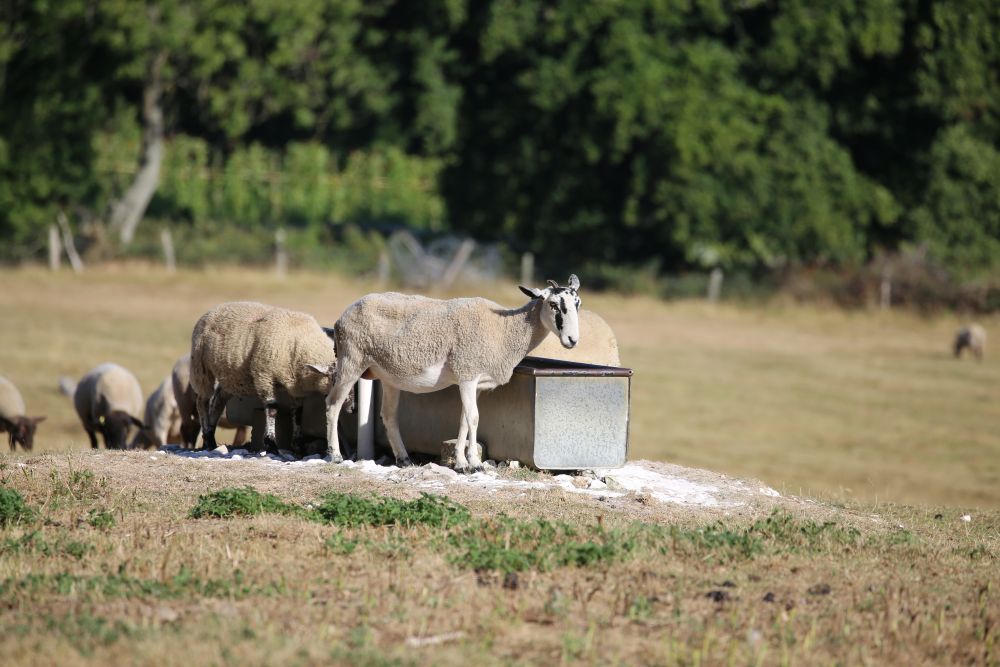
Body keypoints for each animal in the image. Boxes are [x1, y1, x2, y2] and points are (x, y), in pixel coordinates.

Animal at [189, 301, 336, 452]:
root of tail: (213, 309)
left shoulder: (296, 388)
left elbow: (298, 414)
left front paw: (298, 444)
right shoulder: (264, 376)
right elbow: (272, 409)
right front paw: (271, 442)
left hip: (230, 377)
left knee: (217, 402)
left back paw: (211, 437)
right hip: (201, 367)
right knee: (202, 402)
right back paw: (208, 438)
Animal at [310, 275, 582, 472]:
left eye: (577, 304)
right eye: (553, 305)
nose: (572, 340)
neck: (504, 328)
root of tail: (343, 315)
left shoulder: (474, 382)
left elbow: (463, 420)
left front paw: (461, 463)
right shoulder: (467, 373)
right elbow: (474, 418)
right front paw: (474, 464)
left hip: (387, 375)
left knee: (388, 416)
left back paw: (404, 459)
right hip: (351, 359)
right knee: (332, 404)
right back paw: (335, 455)